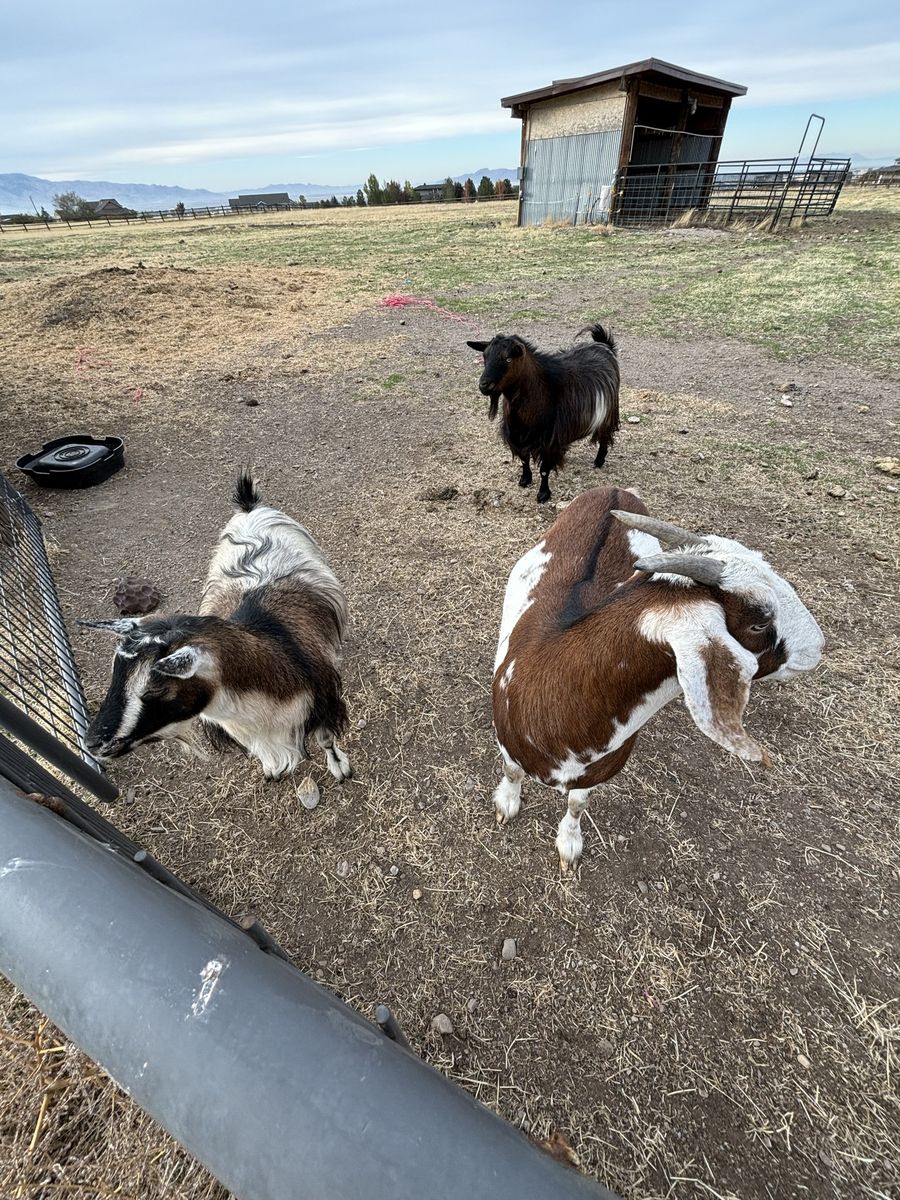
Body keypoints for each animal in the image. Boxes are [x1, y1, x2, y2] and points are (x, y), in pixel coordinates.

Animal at [81, 472, 352, 783]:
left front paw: (340, 767)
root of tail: (249, 507)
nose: (92, 742)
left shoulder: (324, 702)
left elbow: (326, 739)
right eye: (115, 674)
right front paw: (272, 769)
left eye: (155, 687)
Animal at [466, 323, 620, 504]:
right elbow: (524, 459)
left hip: (609, 411)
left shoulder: (548, 441)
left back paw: (599, 460)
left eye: (508, 359)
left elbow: (544, 469)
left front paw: (543, 494)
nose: (484, 385)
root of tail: (604, 346)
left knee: (604, 435)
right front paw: (525, 480)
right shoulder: (518, 435)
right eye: (485, 356)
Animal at [491, 486, 824, 872]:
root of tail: (614, 490)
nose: (818, 646)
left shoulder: (597, 772)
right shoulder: (508, 744)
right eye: (759, 623)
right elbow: (512, 771)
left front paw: (569, 843)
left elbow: (577, 805)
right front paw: (507, 803)